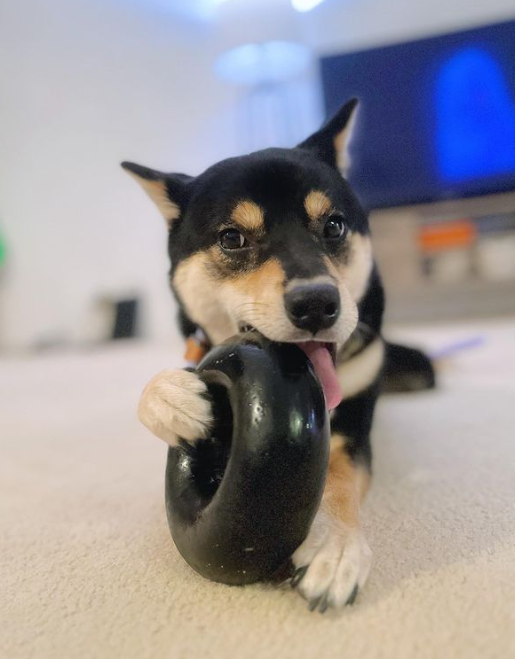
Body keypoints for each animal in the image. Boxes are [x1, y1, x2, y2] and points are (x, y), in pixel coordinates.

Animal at [123, 98, 434, 612]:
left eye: (333, 226)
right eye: (232, 238)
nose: (316, 303)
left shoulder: (353, 425)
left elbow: (340, 477)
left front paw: (335, 545)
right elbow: (157, 389)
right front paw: (172, 398)